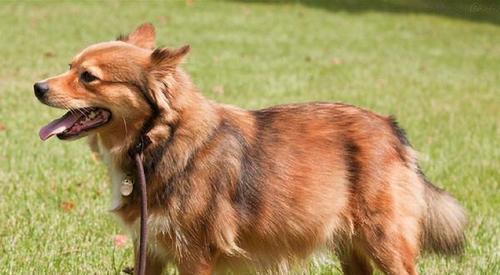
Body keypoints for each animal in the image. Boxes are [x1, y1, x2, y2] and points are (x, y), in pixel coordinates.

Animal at [35, 23, 464, 275]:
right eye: (69, 66)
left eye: (88, 77)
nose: (37, 87)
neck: (159, 140)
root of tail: (391, 128)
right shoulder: (151, 249)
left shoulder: (194, 256)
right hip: (352, 247)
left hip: (386, 242)